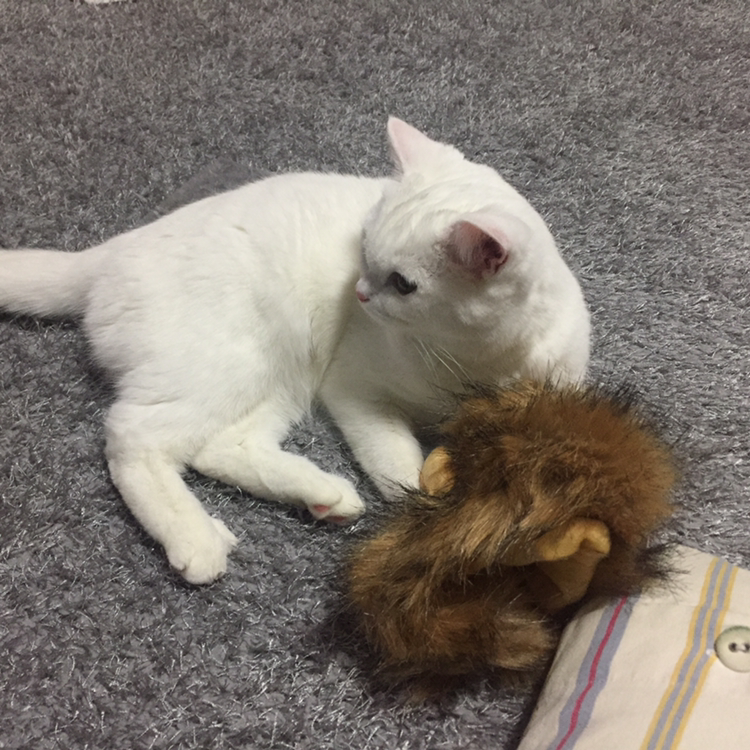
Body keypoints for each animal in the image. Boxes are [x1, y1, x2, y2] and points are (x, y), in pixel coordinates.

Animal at [0, 118, 590, 584]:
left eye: (403, 284)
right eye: (363, 248)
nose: (359, 292)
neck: (469, 360)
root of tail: (111, 250)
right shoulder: (353, 388)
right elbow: (398, 467)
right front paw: (427, 513)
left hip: (281, 380)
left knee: (218, 447)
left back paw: (322, 494)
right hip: (234, 366)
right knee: (134, 438)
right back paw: (197, 540)